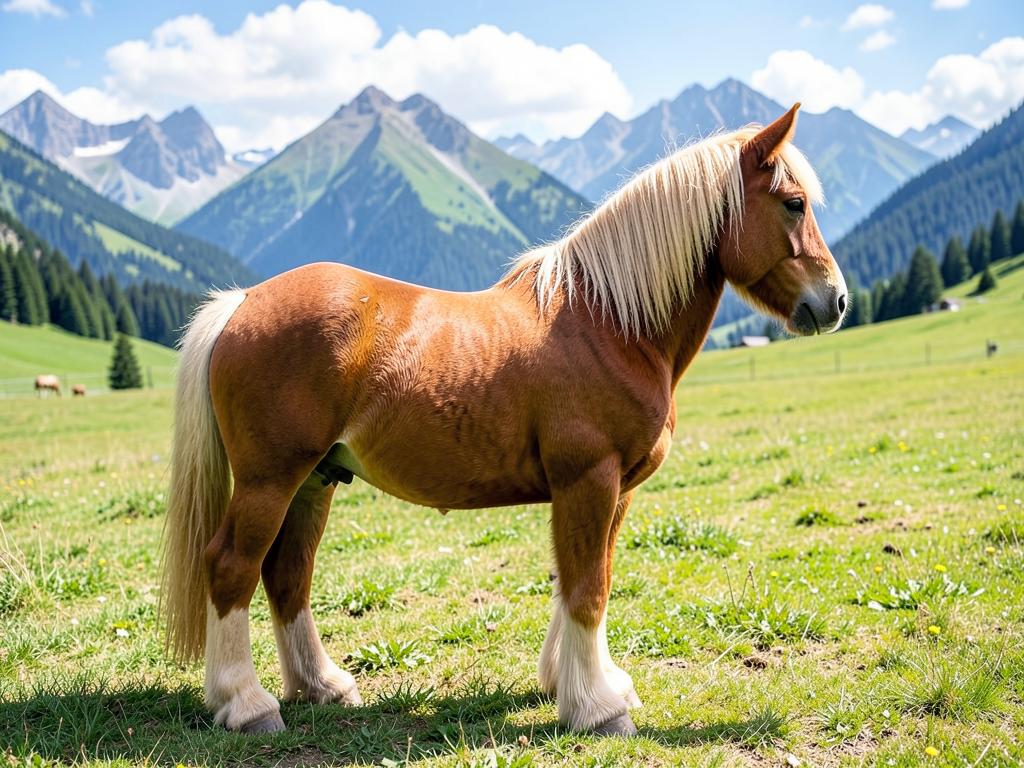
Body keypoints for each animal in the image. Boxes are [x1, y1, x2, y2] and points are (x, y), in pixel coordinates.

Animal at [161, 104, 847, 737]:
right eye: (792, 203)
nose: (835, 301)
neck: (608, 324)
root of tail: (242, 302)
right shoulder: (589, 479)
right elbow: (588, 589)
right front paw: (598, 709)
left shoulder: (611, 492)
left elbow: (580, 579)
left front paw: (577, 684)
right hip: (269, 481)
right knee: (231, 567)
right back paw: (248, 706)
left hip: (314, 481)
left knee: (286, 575)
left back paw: (322, 687)